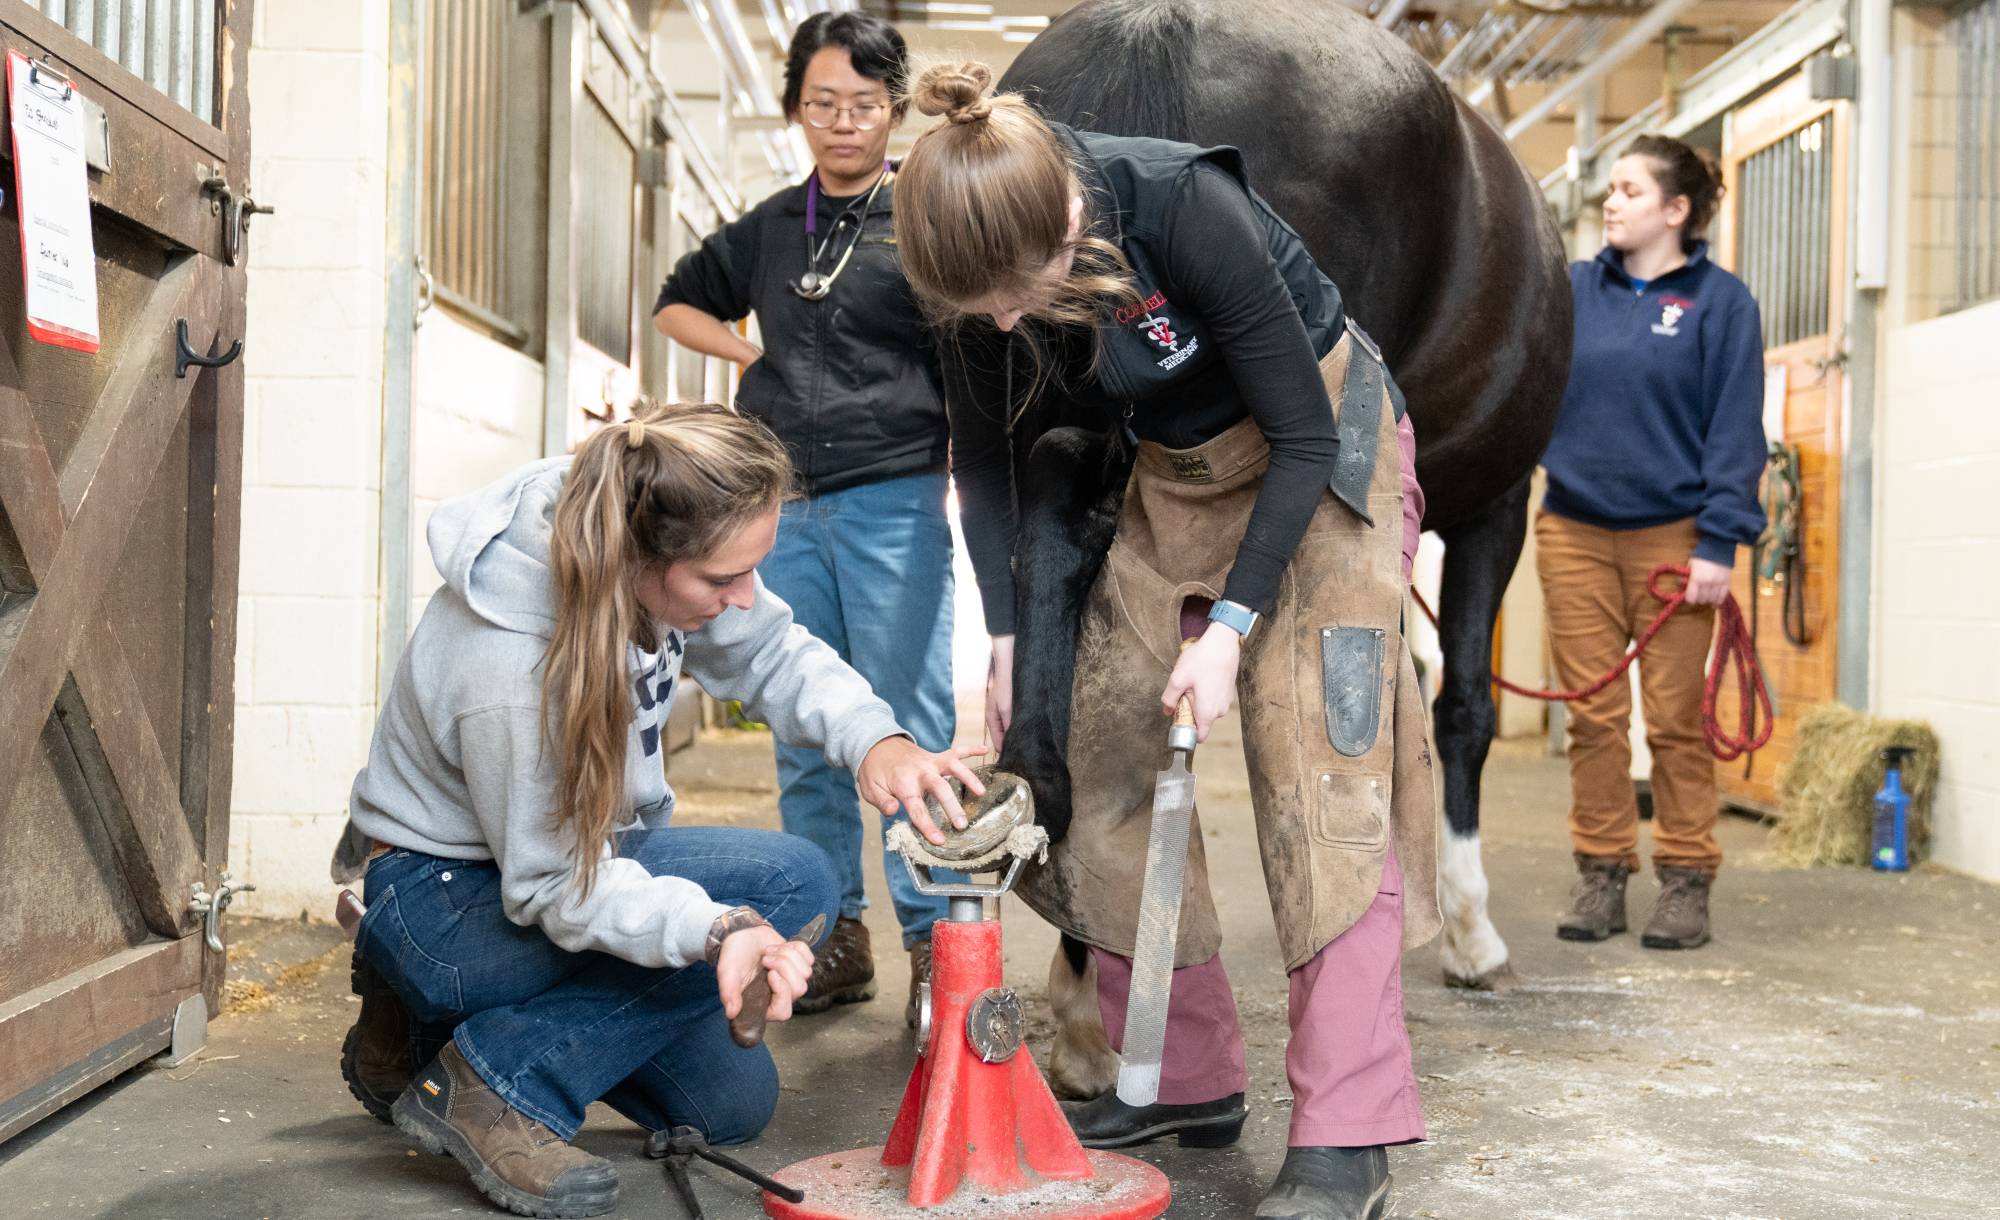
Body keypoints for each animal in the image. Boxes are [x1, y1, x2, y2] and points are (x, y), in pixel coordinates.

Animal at [960, 0, 1568, 1032]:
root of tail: (1146, 35)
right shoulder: (1497, 507)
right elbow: (1461, 708)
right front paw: (1471, 935)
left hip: (1044, 406)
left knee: (1055, 530)